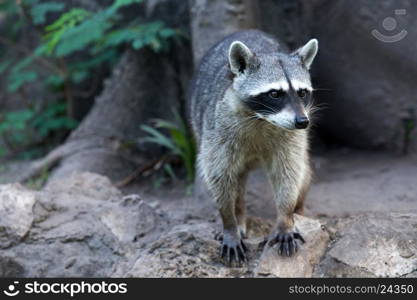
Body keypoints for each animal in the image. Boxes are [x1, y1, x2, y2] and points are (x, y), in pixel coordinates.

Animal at [189, 29, 318, 264]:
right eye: (275, 94)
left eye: (302, 92)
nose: (303, 122)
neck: (262, 119)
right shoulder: (218, 131)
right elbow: (218, 176)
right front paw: (229, 222)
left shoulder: (290, 137)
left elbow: (289, 172)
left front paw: (285, 218)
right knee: (236, 180)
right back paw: (239, 214)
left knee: (303, 173)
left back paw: (298, 209)